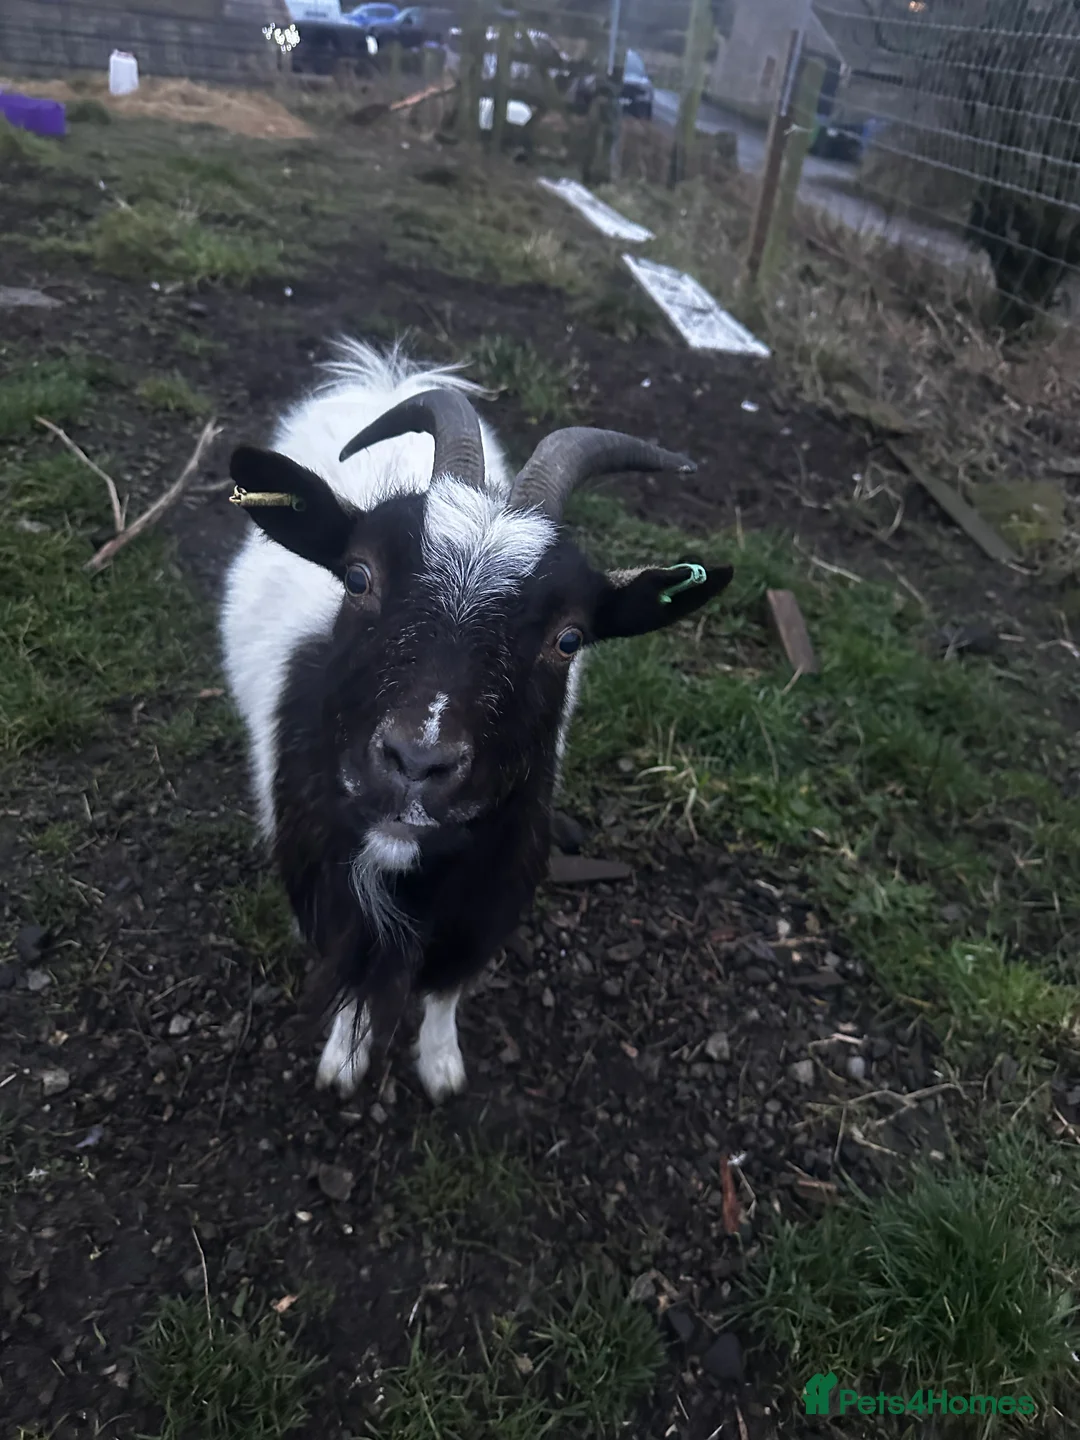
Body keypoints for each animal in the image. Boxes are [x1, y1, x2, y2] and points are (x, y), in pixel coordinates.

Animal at [220, 340, 732, 1103]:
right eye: (357, 577)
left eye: (570, 638)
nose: (417, 761)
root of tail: (388, 376)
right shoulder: (321, 874)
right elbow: (350, 974)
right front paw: (345, 1062)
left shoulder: (490, 892)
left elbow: (446, 988)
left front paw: (441, 1068)